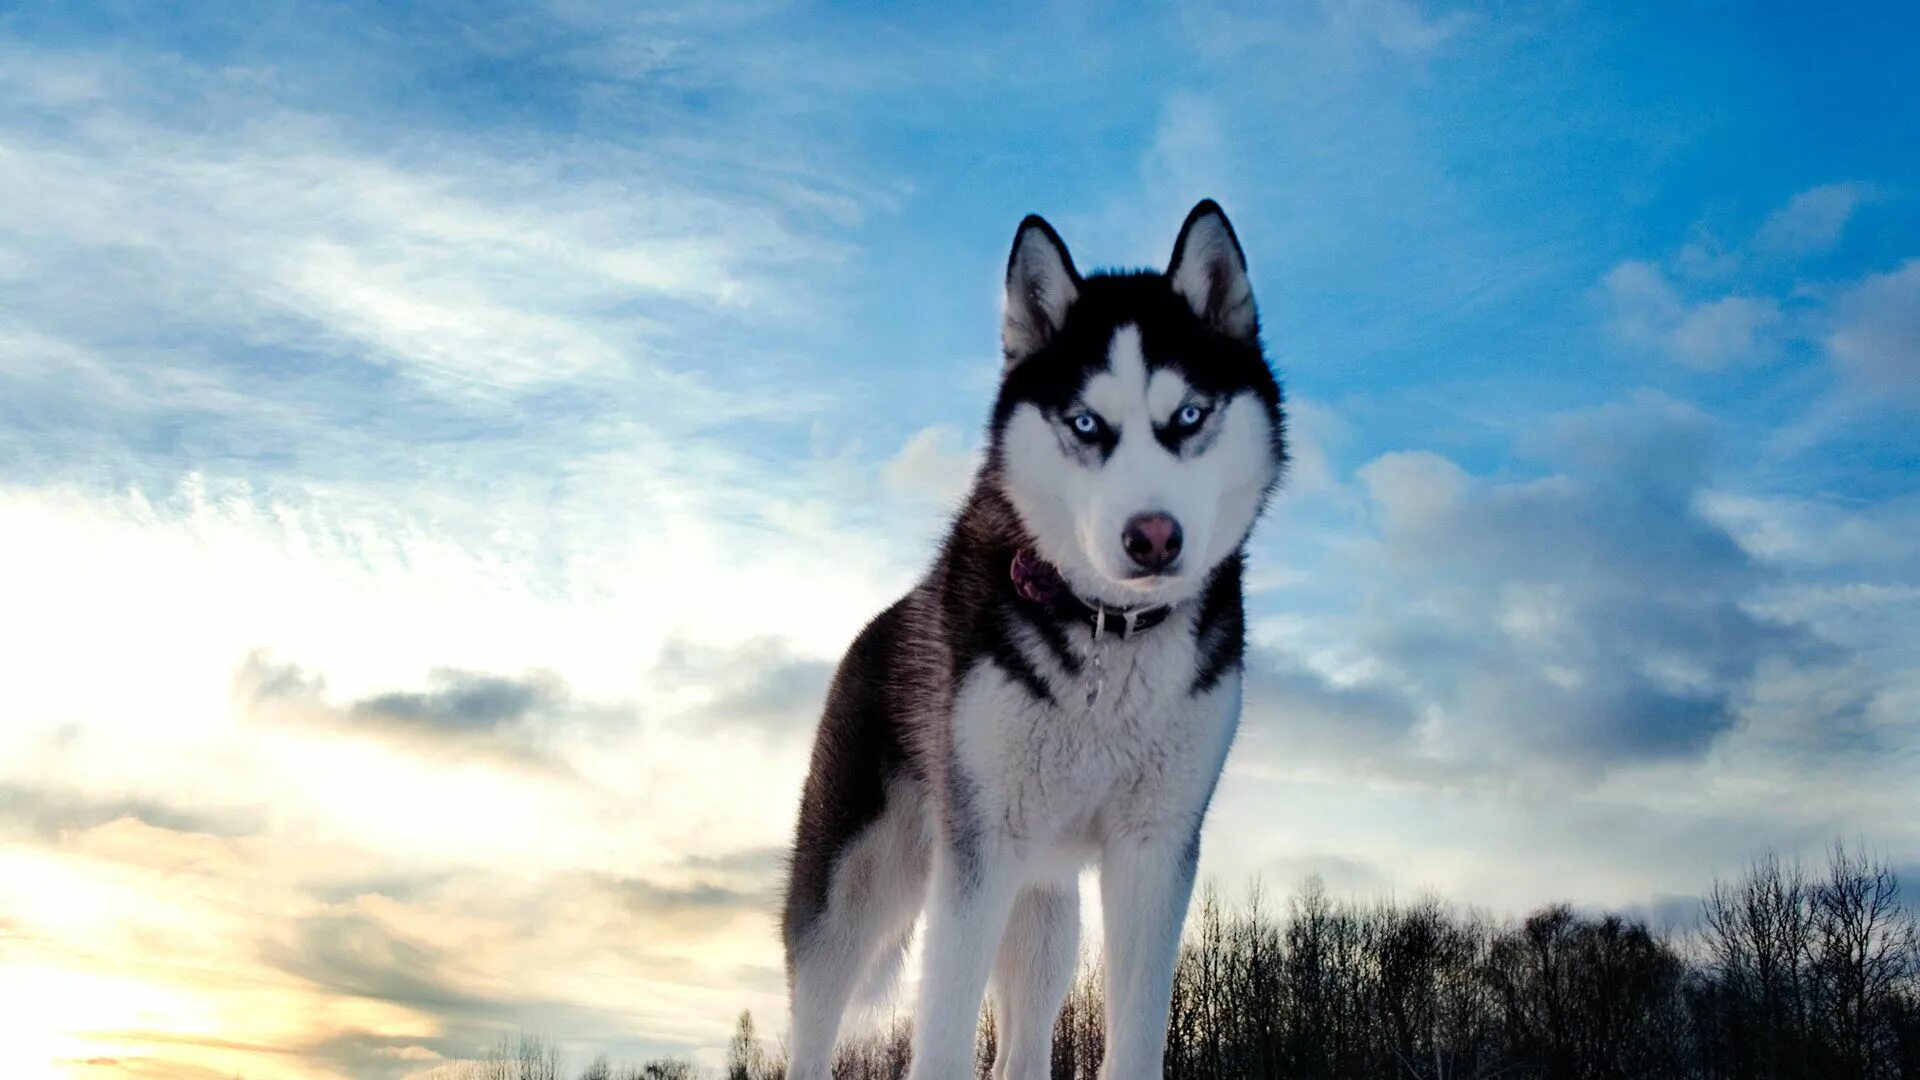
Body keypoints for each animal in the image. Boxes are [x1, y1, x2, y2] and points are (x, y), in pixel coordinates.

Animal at [779, 201, 1290, 1076]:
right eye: (1086, 423)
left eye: (1189, 415)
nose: (1153, 537)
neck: (1108, 633)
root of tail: (873, 628)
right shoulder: (979, 852)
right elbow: (940, 1041)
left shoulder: (1155, 850)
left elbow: (1136, 1038)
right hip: (854, 888)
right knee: (817, 1011)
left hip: (1047, 914)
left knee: (1021, 1042)